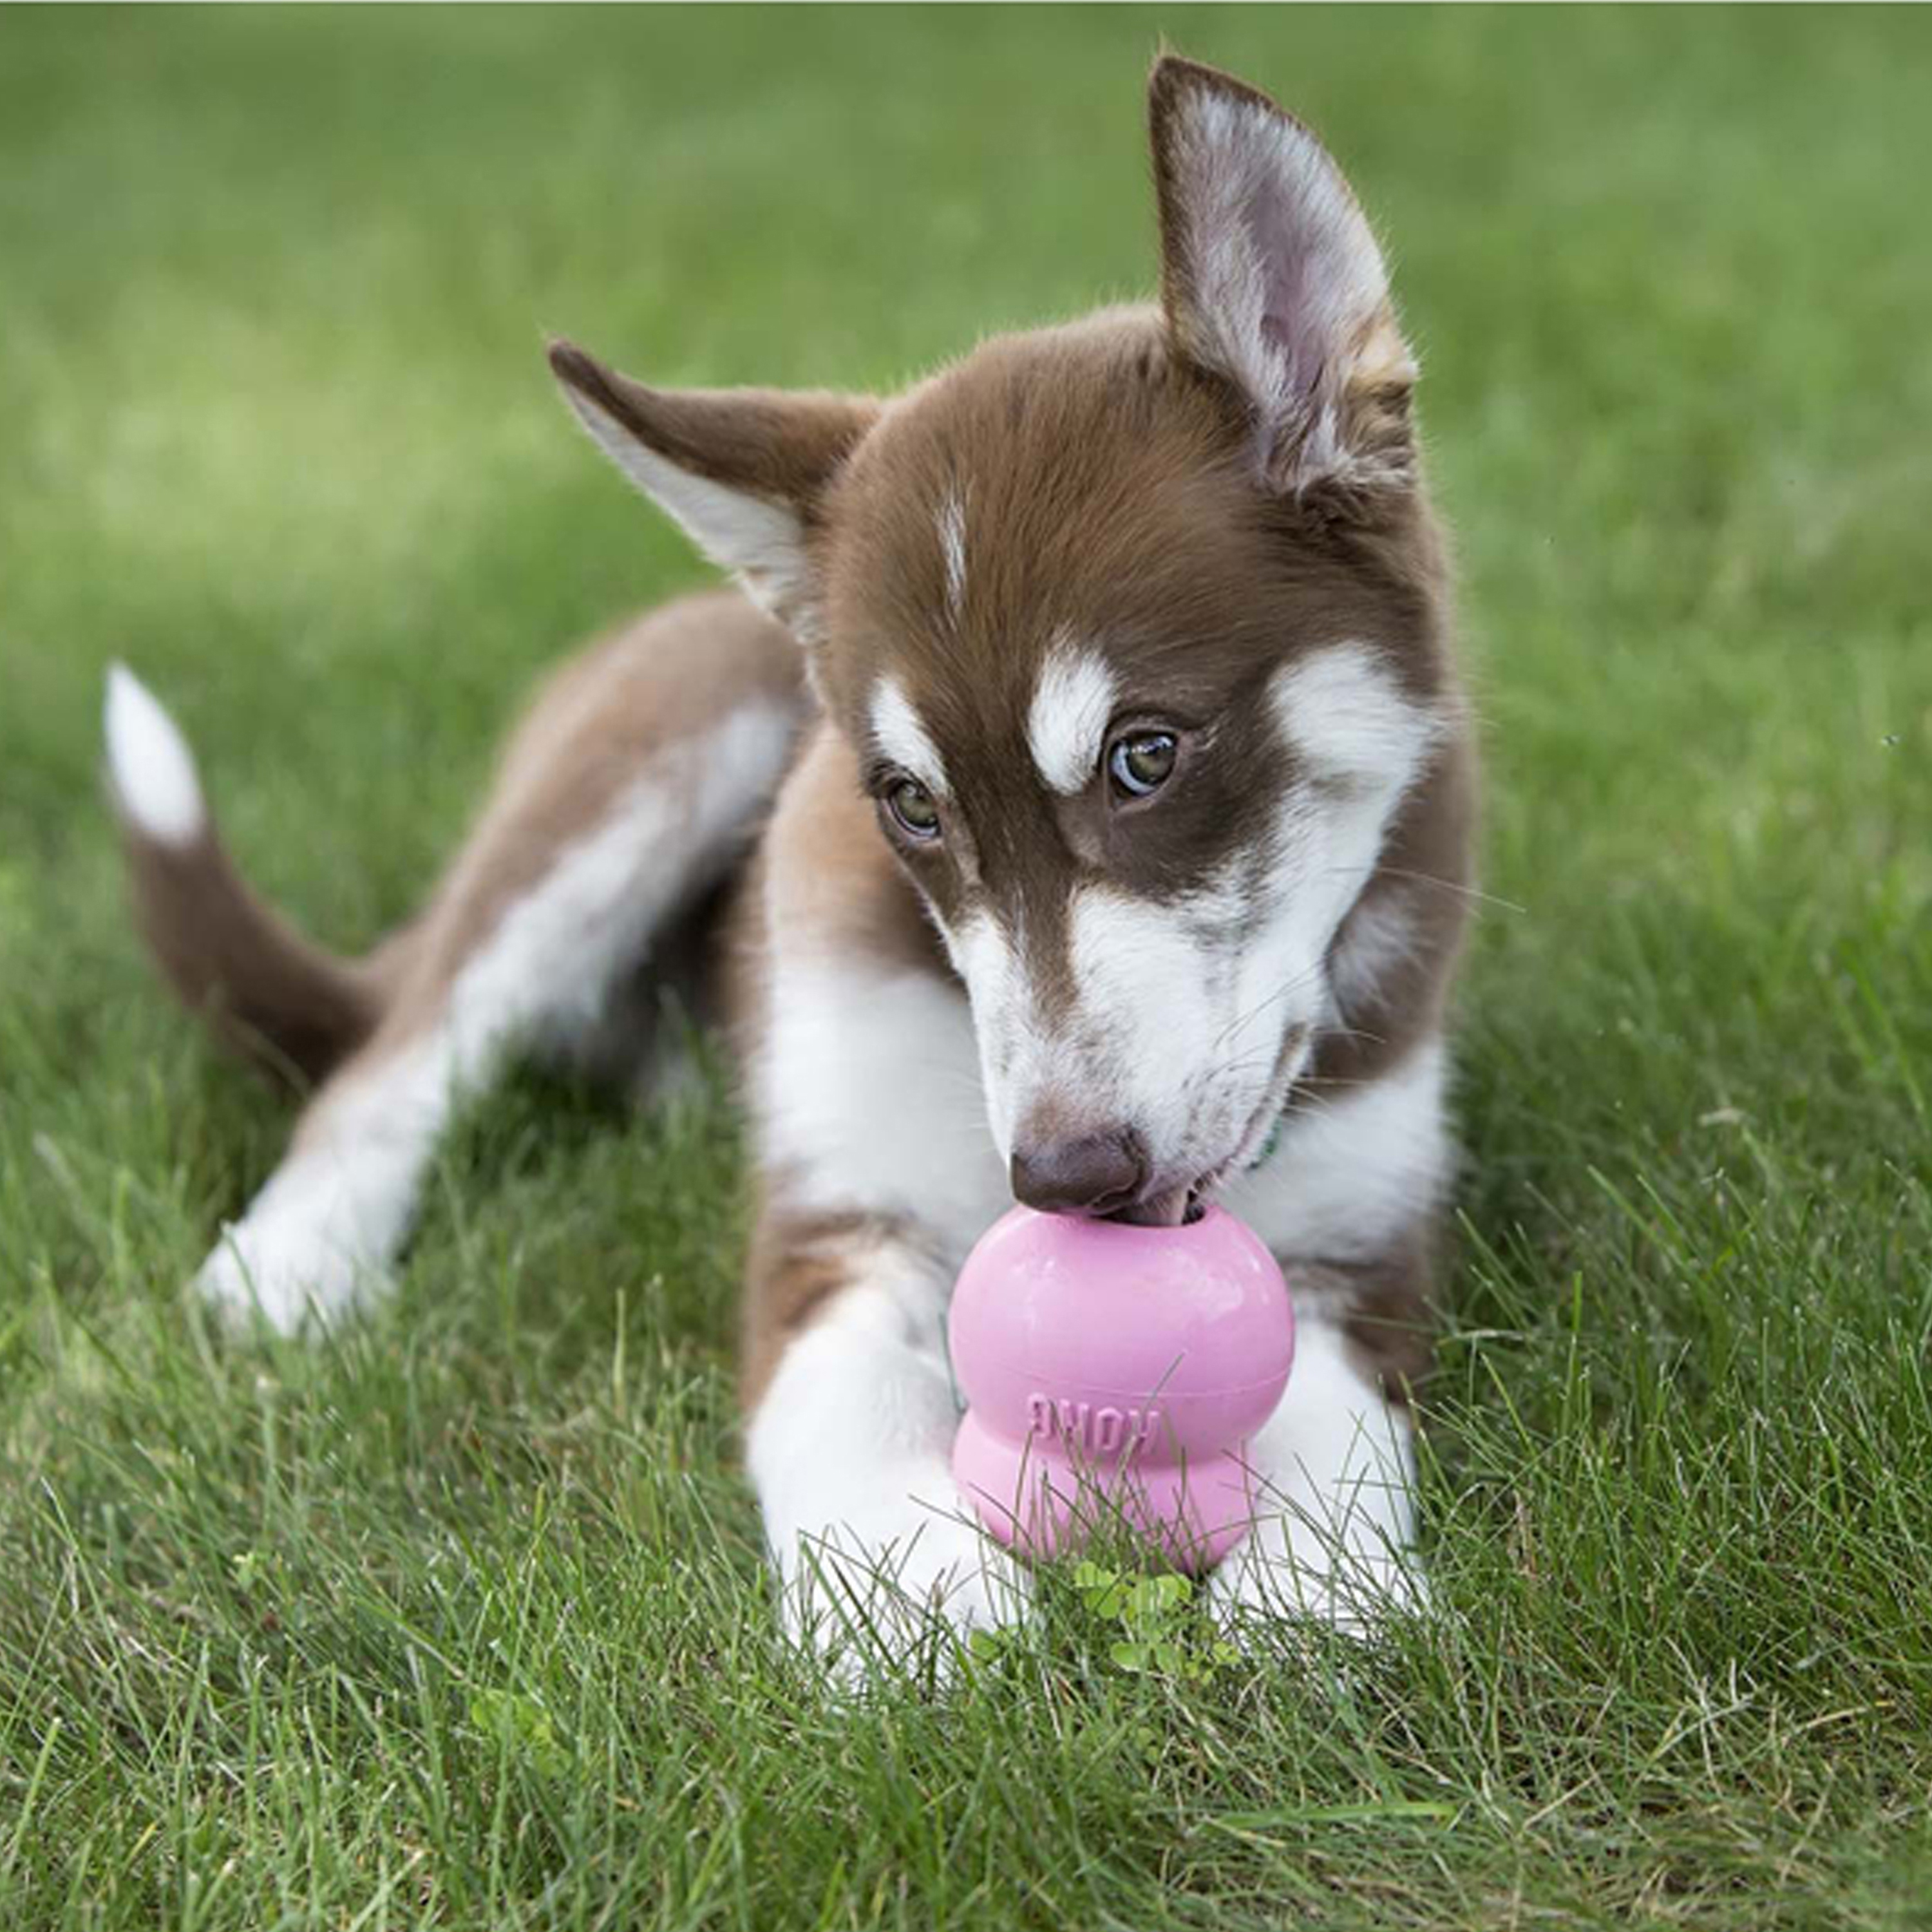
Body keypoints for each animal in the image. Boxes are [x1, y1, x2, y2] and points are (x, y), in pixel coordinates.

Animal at [106, 64, 1476, 1662]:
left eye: (1147, 756)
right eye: (911, 806)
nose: (1065, 1179)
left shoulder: (1361, 1239)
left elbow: (1327, 1407)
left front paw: (1321, 1594)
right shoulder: (835, 1220)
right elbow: (850, 1395)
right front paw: (918, 1606)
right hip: (651, 754)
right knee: (406, 1048)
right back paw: (292, 1264)